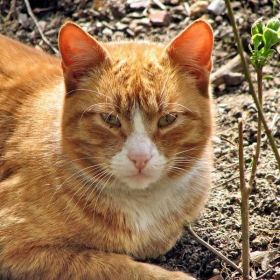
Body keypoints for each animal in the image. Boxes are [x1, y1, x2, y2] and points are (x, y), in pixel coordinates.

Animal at [0, 20, 213, 280]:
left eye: (167, 119)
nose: (140, 158)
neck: (142, 204)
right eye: (110, 119)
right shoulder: (14, 245)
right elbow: (109, 265)